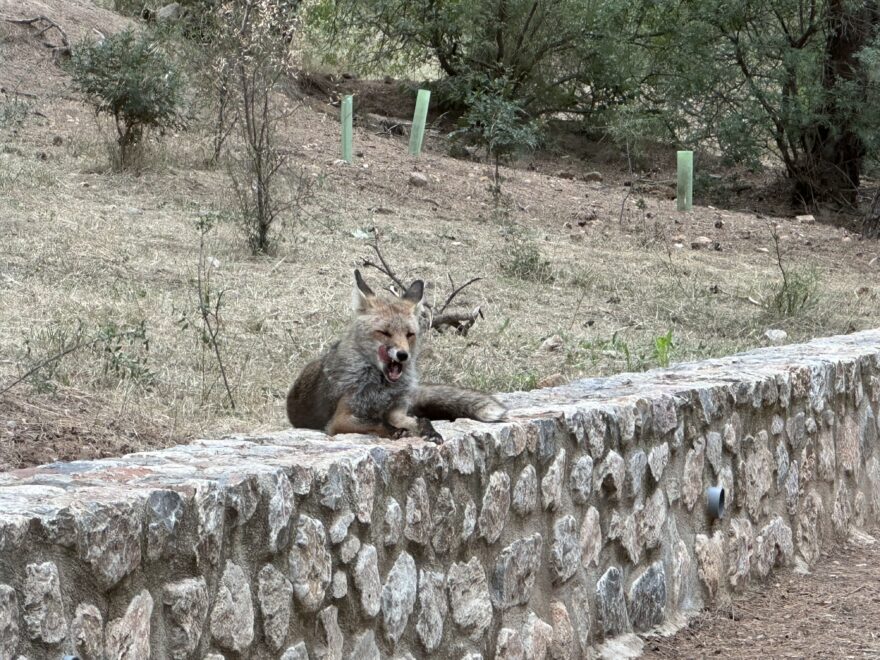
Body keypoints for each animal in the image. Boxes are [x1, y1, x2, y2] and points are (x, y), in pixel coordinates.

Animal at [288, 268, 506, 444]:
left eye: (409, 334)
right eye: (384, 333)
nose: (403, 355)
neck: (382, 390)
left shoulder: (397, 410)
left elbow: (420, 420)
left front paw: (430, 432)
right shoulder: (342, 418)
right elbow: (377, 424)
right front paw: (397, 432)